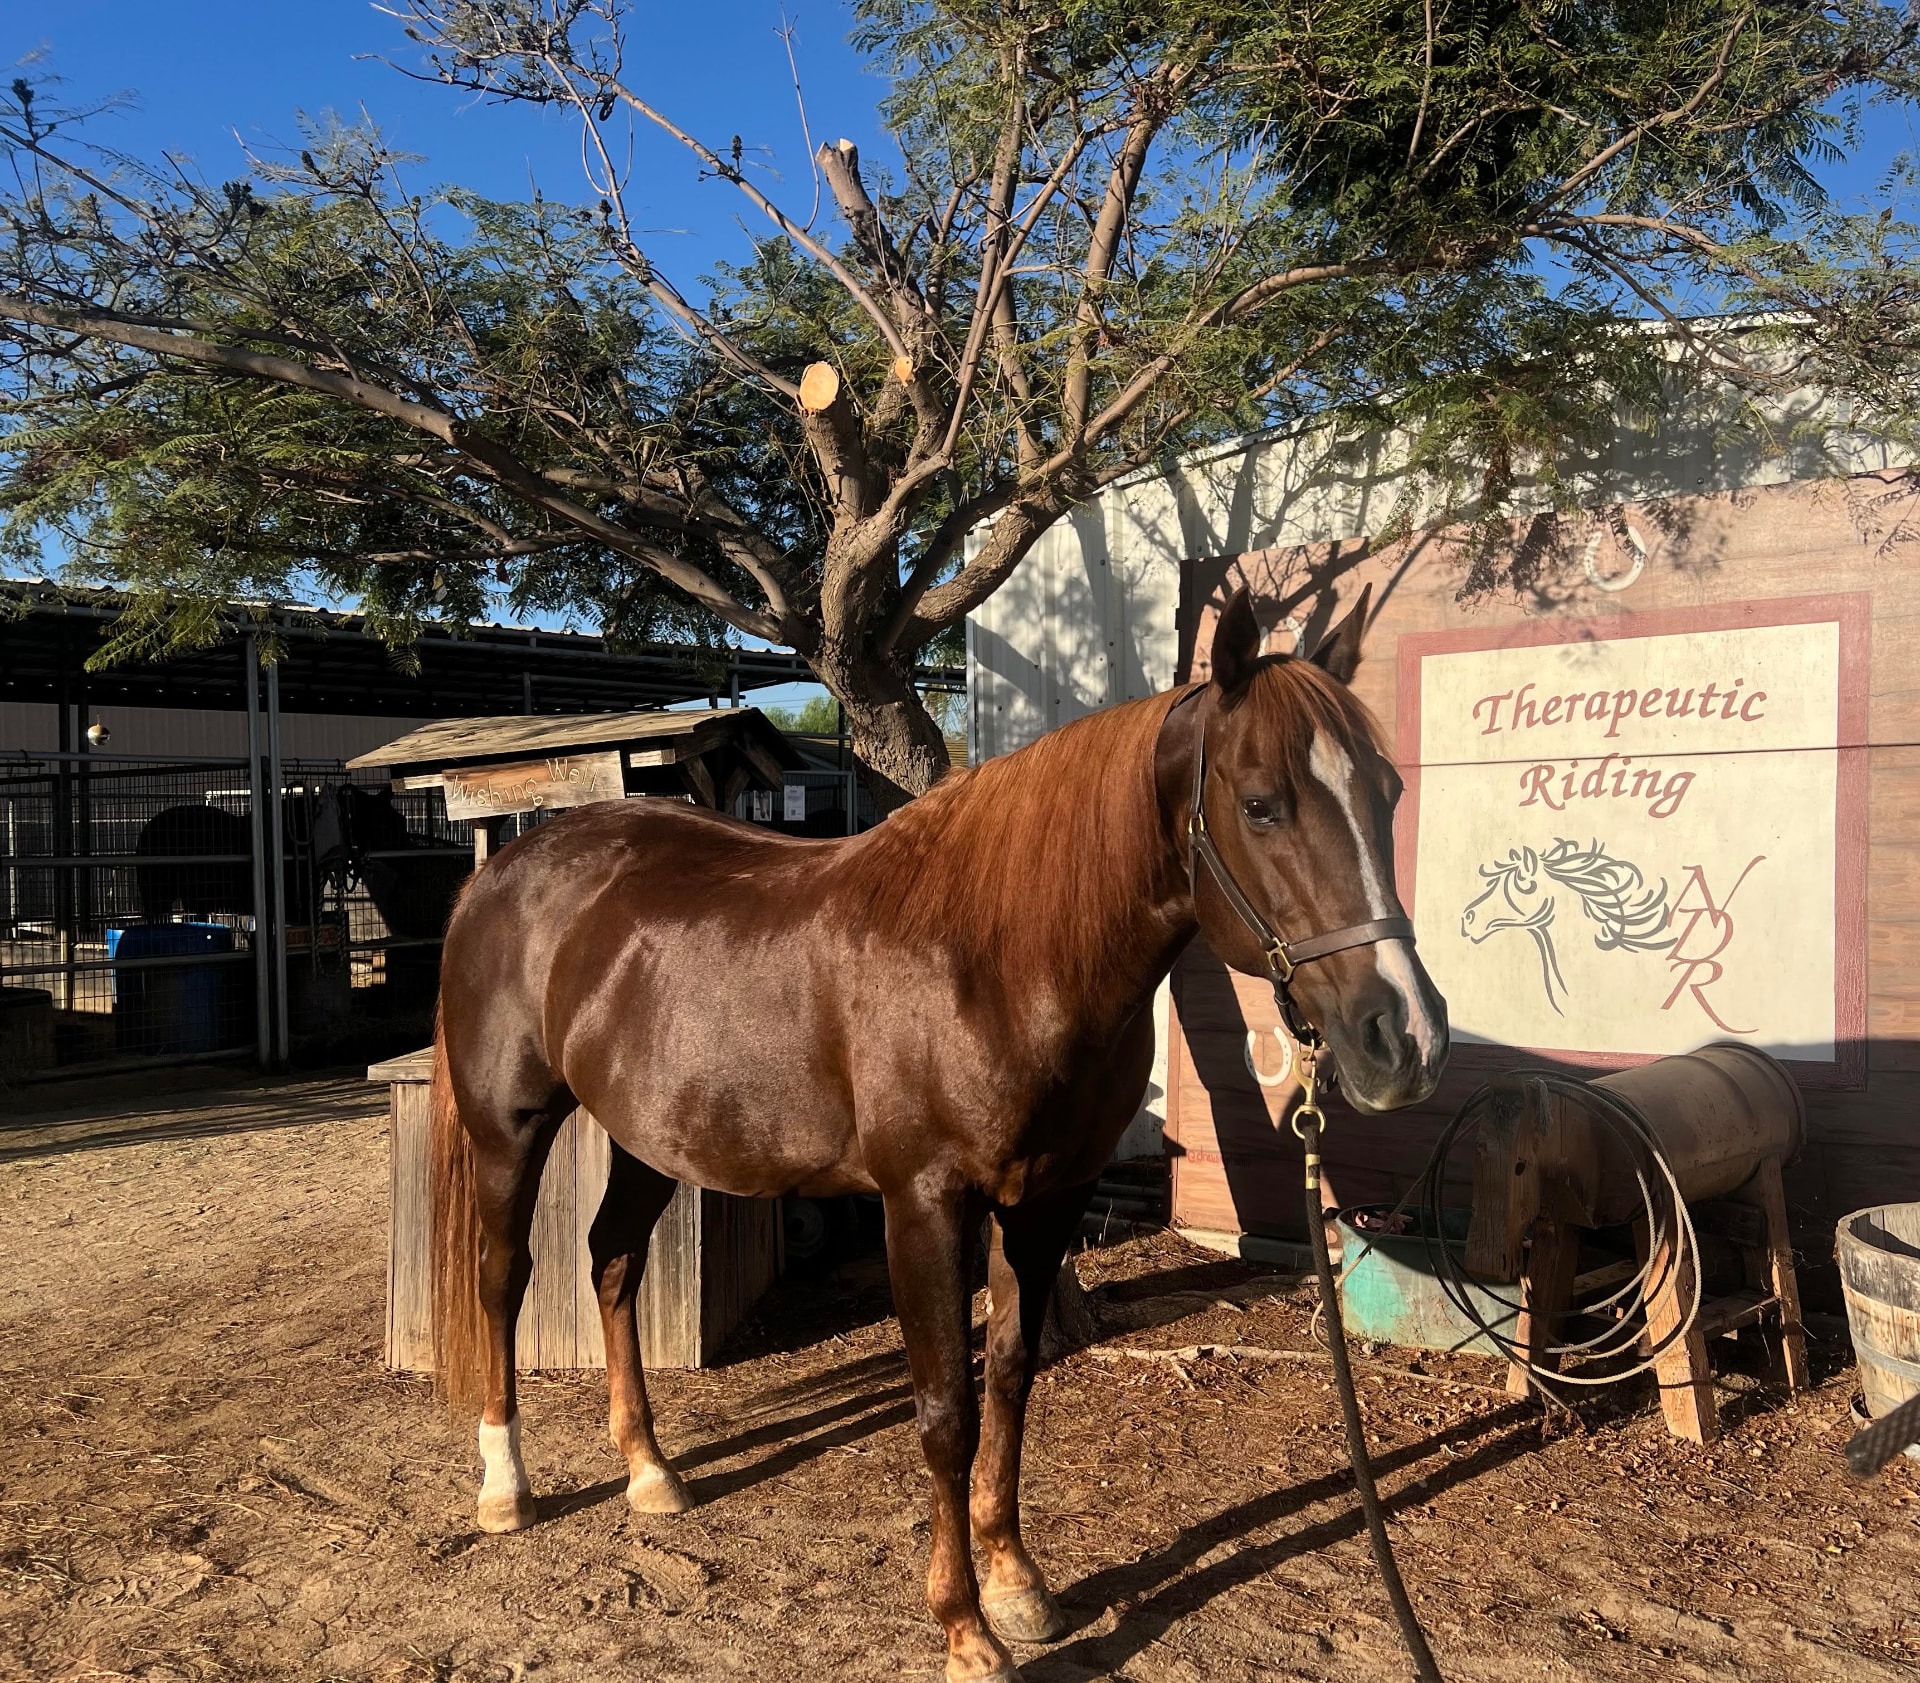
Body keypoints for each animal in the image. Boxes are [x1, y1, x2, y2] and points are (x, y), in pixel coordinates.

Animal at [428, 585, 1448, 1683]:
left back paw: (651, 1471)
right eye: (1262, 803)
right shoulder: (924, 1203)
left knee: (612, 1262)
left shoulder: (1045, 1199)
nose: (1408, 1037)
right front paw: (965, 1629)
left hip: (648, 1139)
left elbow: (1008, 1380)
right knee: (502, 1277)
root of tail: (508, 866)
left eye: (1388, 792)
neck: (996, 958)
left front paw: (1019, 1584)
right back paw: (505, 1486)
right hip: (509, 1128)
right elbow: (945, 1413)